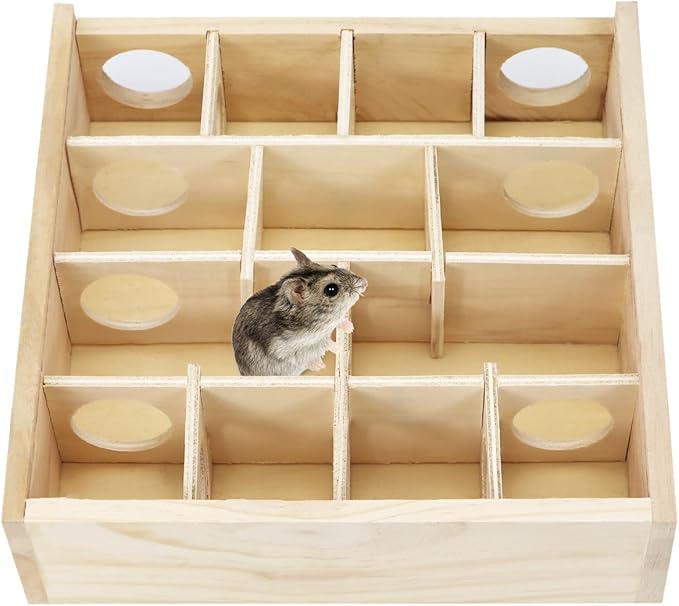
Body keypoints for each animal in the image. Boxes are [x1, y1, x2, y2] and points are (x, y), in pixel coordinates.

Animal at [232, 248, 368, 376]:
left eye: (334, 265)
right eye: (331, 289)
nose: (365, 282)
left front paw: (350, 328)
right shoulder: (292, 349)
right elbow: (324, 344)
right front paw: (331, 355)